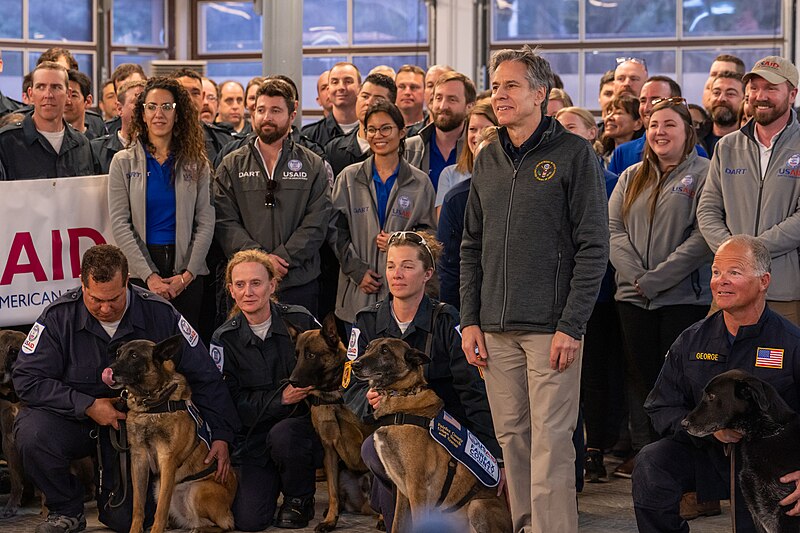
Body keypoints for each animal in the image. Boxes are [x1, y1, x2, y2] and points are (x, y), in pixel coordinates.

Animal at [108, 336, 236, 532]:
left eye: (134, 356)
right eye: (118, 353)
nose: (109, 371)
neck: (151, 402)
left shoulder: (167, 460)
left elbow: (161, 509)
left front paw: (156, 529)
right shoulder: (138, 460)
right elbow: (138, 506)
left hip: (197, 491)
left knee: (223, 526)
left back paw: (198, 529)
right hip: (157, 486)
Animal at [288, 314, 376, 528]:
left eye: (311, 355)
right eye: (297, 355)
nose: (291, 381)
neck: (333, 395)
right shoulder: (329, 449)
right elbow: (332, 492)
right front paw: (330, 520)